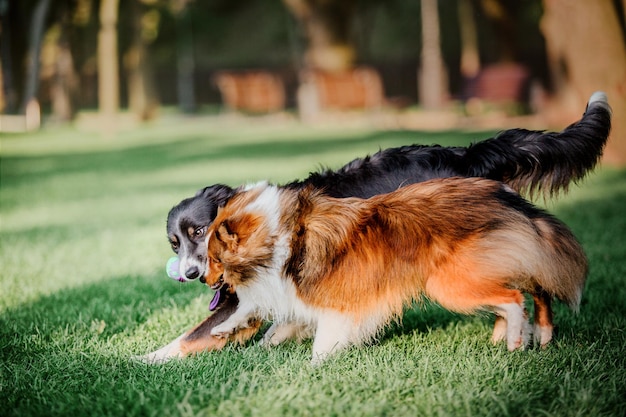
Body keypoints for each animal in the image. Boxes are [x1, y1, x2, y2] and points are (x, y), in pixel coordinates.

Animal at [204, 177, 584, 362]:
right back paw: (532, 336)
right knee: (534, 290)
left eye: (214, 259)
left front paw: (312, 367)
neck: (281, 233)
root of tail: (504, 194)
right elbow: (262, 314)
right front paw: (225, 330)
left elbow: (322, 339)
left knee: (515, 298)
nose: (203, 279)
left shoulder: (335, 303)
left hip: (450, 283)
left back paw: (517, 340)